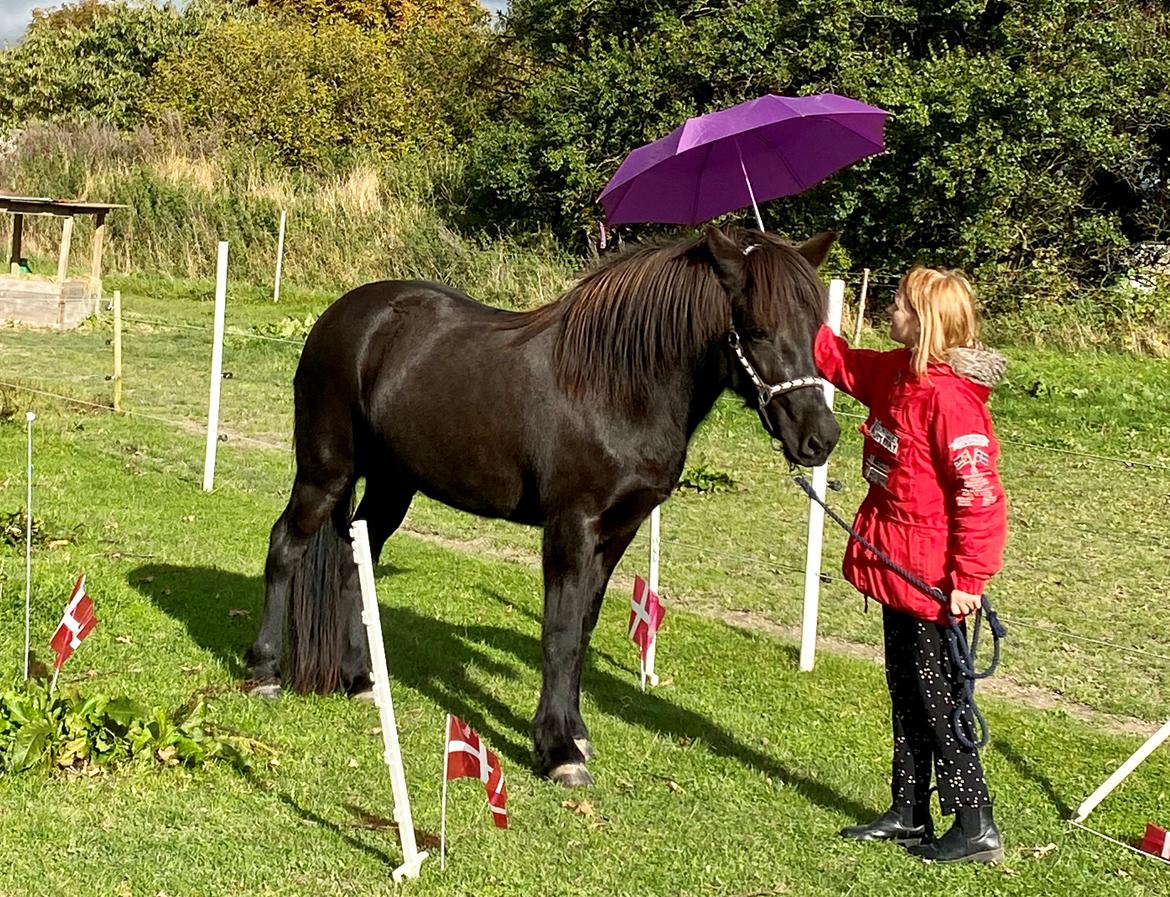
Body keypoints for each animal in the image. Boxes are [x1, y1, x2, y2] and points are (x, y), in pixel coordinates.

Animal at [249, 226, 842, 785]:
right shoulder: (571, 526)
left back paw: (361, 680)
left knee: (356, 562)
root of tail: (341, 316)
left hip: (393, 486)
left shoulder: (619, 531)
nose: (821, 439)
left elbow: (582, 629)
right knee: (284, 548)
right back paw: (264, 672)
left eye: (816, 329)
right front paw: (558, 752)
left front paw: (575, 734)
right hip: (325, 473)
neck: (614, 388)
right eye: (756, 329)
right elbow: (557, 632)